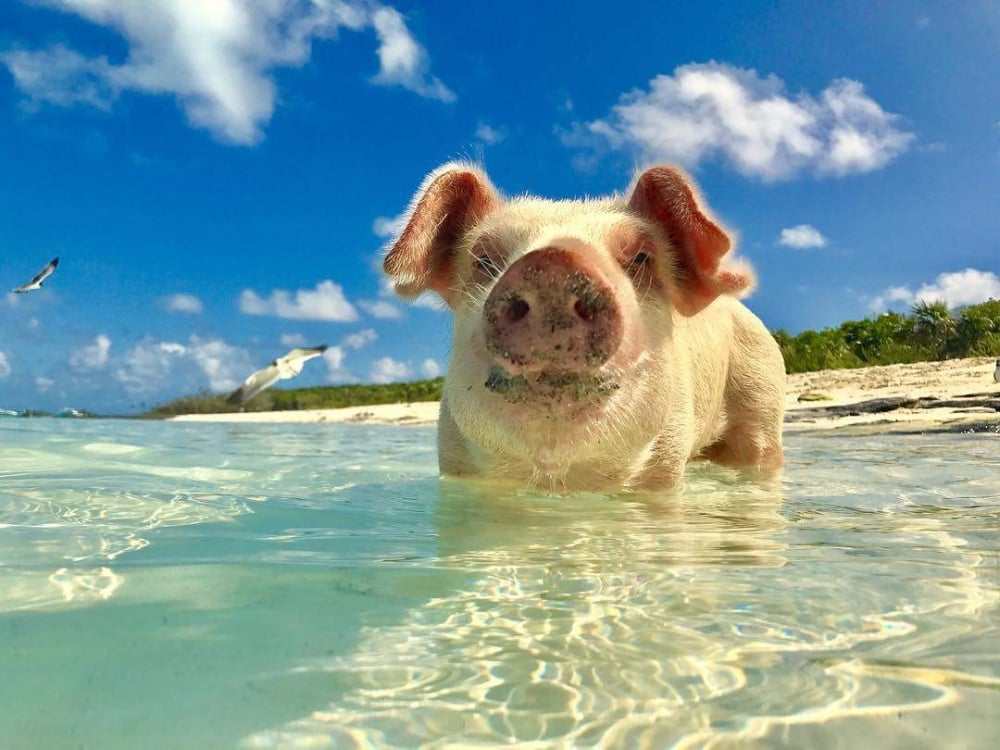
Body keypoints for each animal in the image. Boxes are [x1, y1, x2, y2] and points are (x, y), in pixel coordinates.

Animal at [384, 163, 788, 494]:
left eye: (642, 257)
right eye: (483, 260)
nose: (552, 264)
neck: (560, 477)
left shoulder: (666, 460)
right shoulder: (456, 462)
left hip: (763, 395)